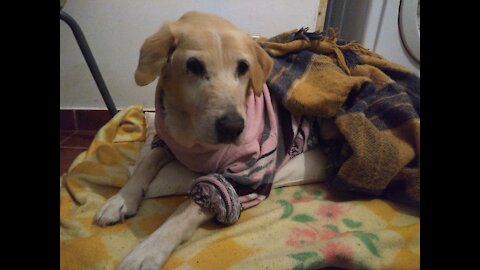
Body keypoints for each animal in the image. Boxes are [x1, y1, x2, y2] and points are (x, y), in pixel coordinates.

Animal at [94, 11, 326, 270]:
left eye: (243, 67)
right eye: (193, 65)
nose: (233, 127)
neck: (190, 133)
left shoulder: (249, 175)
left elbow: (187, 207)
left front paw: (149, 249)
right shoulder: (166, 142)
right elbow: (145, 164)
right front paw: (120, 200)